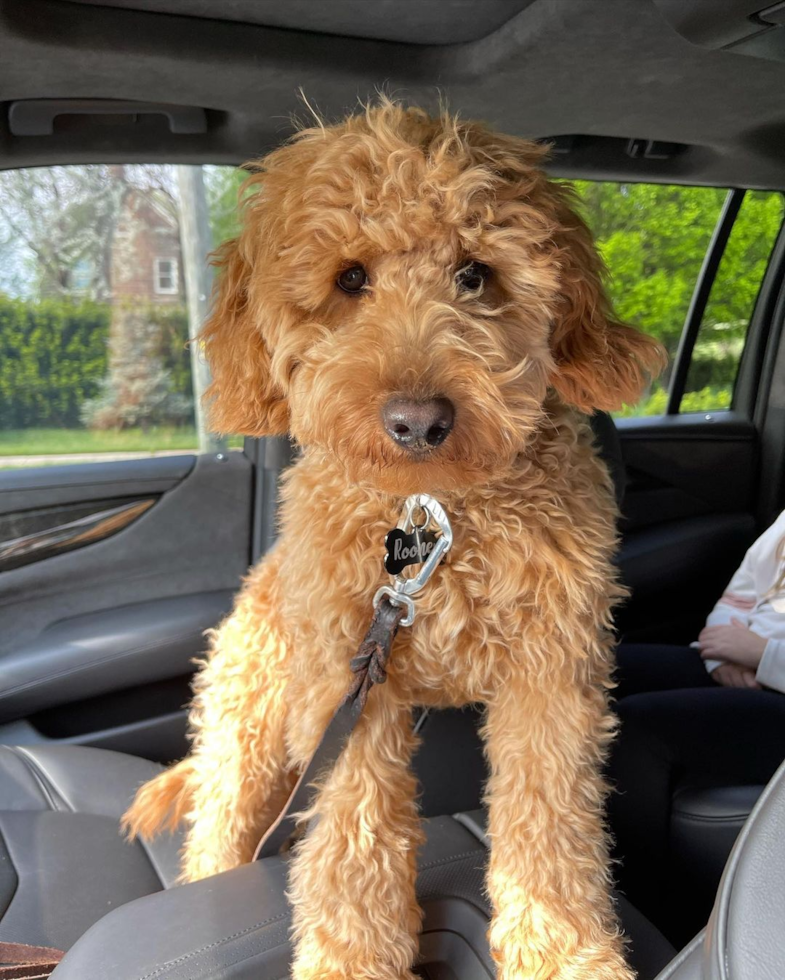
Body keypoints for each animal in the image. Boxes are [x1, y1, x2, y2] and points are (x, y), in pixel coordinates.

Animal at [125, 101, 664, 980]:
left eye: (474, 273)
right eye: (349, 279)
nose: (418, 420)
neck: (433, 516)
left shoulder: (550, 671)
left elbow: (548, 822)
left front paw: (564, 951)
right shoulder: (346, 684)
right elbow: (353, 835)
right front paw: (351, 960)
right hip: (246, 724)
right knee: (219, 828)